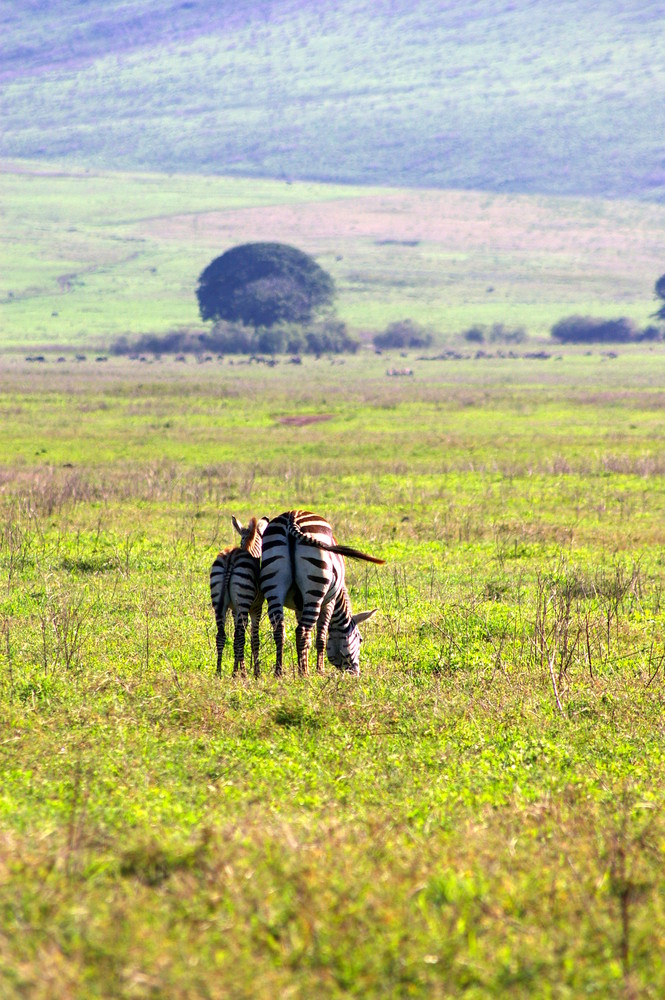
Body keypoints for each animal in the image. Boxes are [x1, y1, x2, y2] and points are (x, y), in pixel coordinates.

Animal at [209, 516, 268, 680]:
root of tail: (231, 557)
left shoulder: (234, 610)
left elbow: (236, 640)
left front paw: (236, 670)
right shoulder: (255, 608)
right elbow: (254, 640)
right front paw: (254, 672)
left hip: (219, 604)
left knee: (221, 635)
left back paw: (218, 671)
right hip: (243, 600)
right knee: (241, 637)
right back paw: (242, 674)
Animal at [260, 508, 384, 680]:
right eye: (360, 639)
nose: (356, 674)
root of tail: (292, 517)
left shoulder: (300, 606)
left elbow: (308, 640)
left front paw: (303, 663)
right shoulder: (329, 603)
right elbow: (321, 637)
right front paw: (320, 671)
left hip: (274, 586)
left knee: (280, 630)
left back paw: (279, 672)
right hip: (316, 589)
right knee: (302, 631)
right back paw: (304, 674)